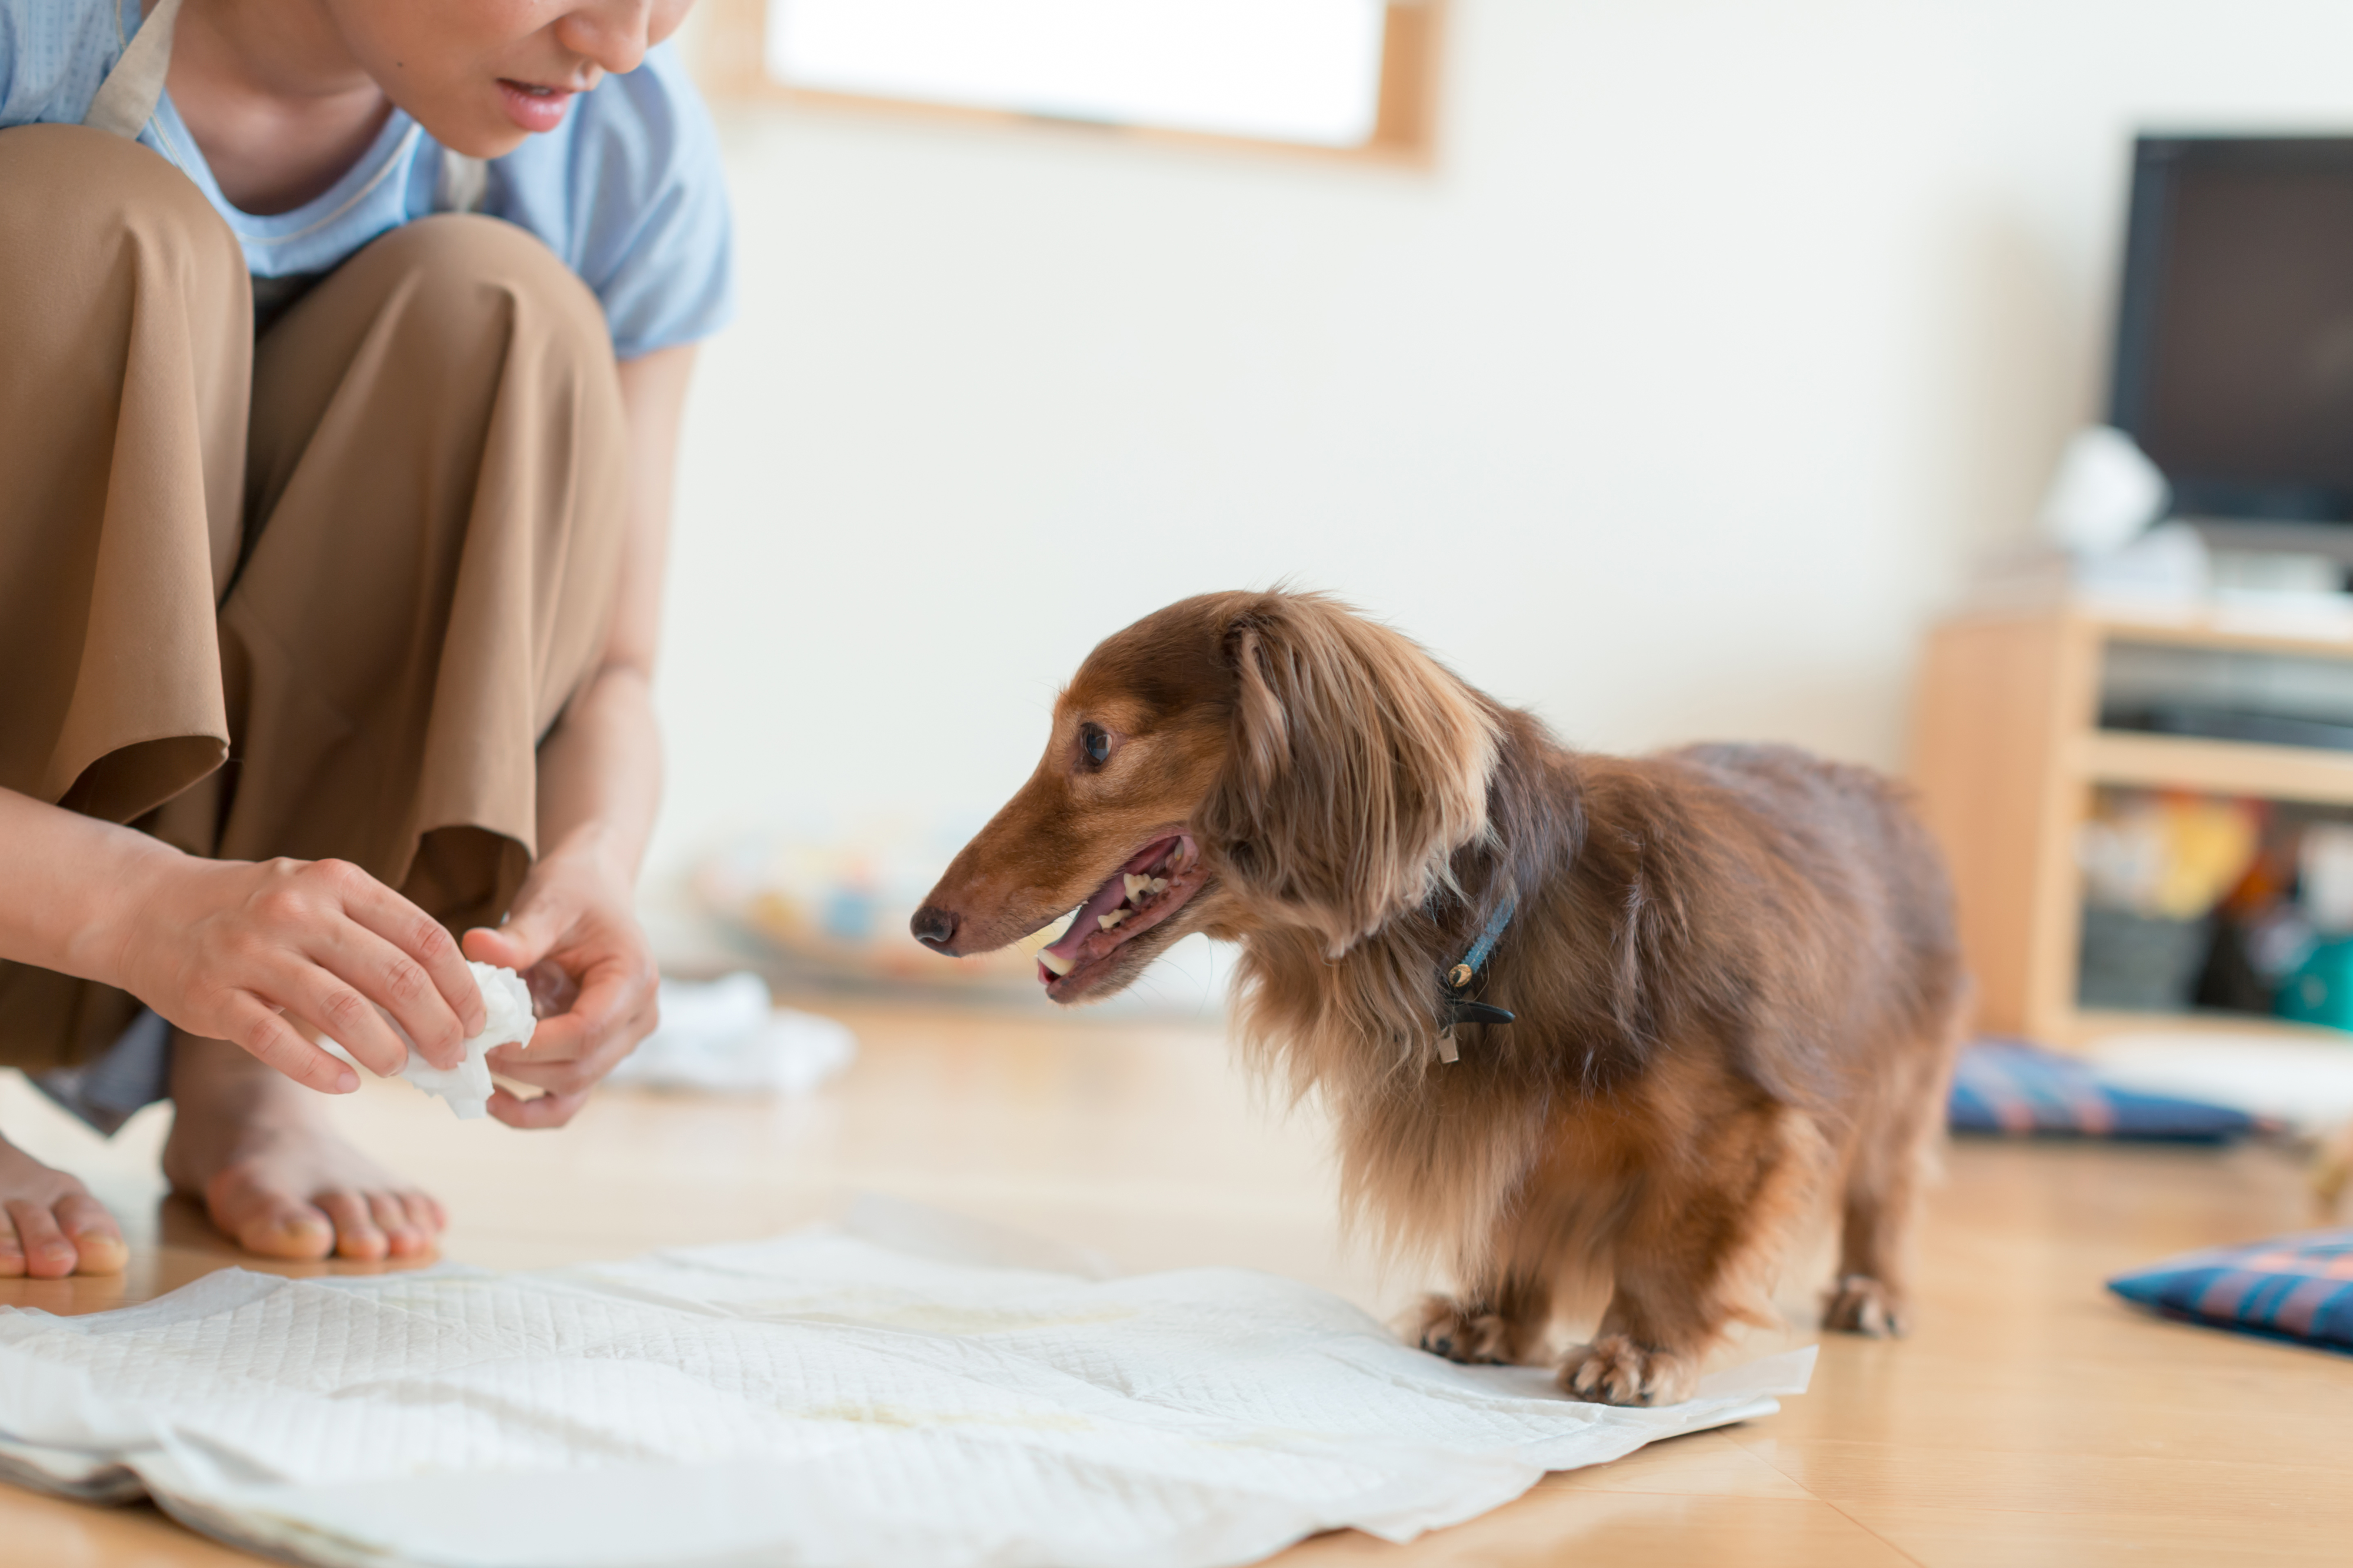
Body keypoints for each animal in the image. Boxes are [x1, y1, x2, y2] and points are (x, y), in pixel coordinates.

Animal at [908, 593, 1958, 1393]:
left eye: (1094, 742)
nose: (924, 924)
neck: (1491, 928)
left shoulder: (1739, 1128)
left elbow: (1671, 1242)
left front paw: (1636, 1346)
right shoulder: (1511, 1129)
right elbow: (1516, 1211)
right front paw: (1493, 1313)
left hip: (1903, 1083)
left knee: (1888, 1191)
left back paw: (1874, 1290)